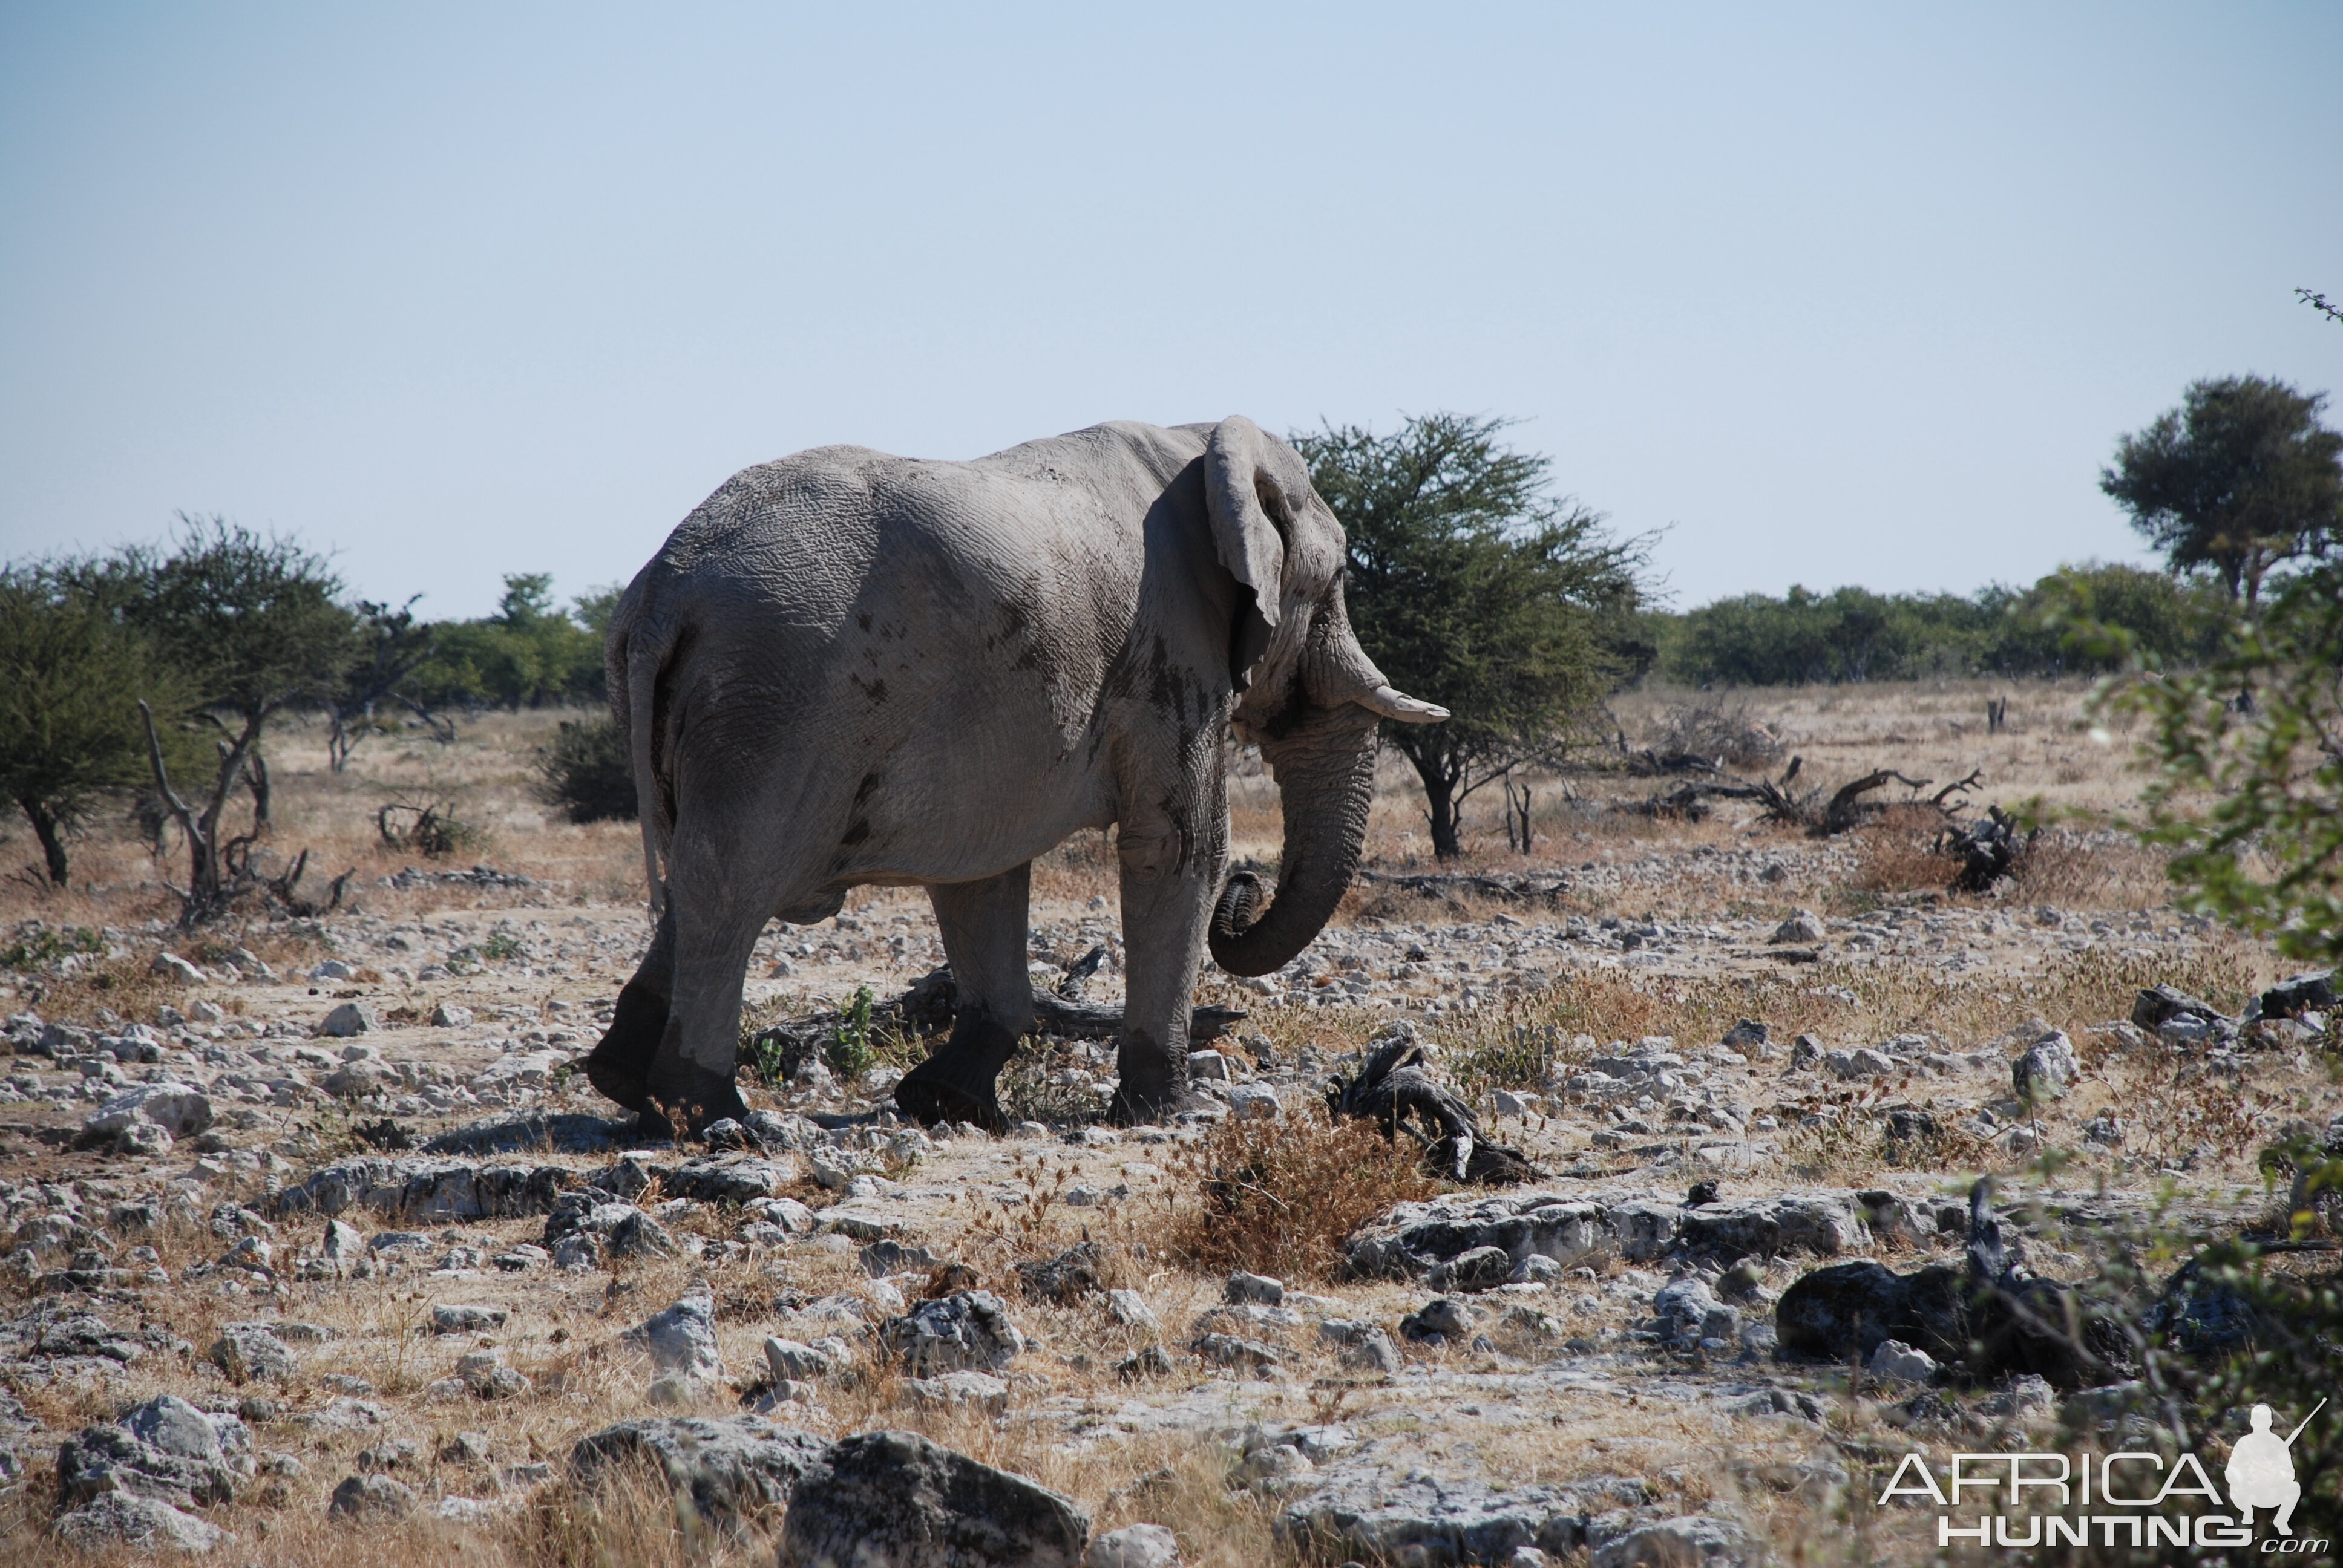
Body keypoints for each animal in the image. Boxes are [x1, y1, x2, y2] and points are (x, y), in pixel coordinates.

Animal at [576, 414, 1434, 1129]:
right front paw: (1171, 1110)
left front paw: (944, 1101)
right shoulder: (1170, 645)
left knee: (697, 873)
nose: (1249, 891)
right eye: (1335, 585)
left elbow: (981, 866)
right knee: (734, 884)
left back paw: (623, 1084)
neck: (1202, 441)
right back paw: (712, 1115)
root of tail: (665, 590)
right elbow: (1177, 848)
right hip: (776, 698)